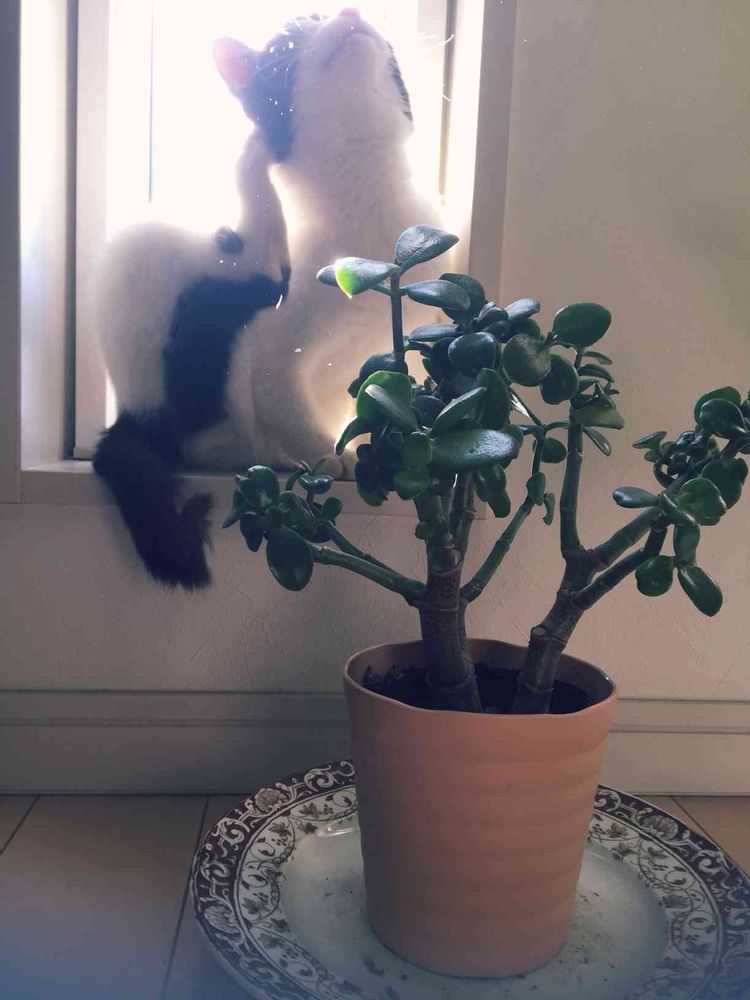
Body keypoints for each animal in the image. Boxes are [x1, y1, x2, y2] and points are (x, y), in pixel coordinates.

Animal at [94, 10, 442, 589]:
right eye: (290, 38)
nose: (350, 13)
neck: (363, 197)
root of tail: (128, 416)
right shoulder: (275, 357)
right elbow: (283, 396)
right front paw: (325, 456)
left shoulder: (380, 339)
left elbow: (360, 393)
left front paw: (358, 444)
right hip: (157, 262)